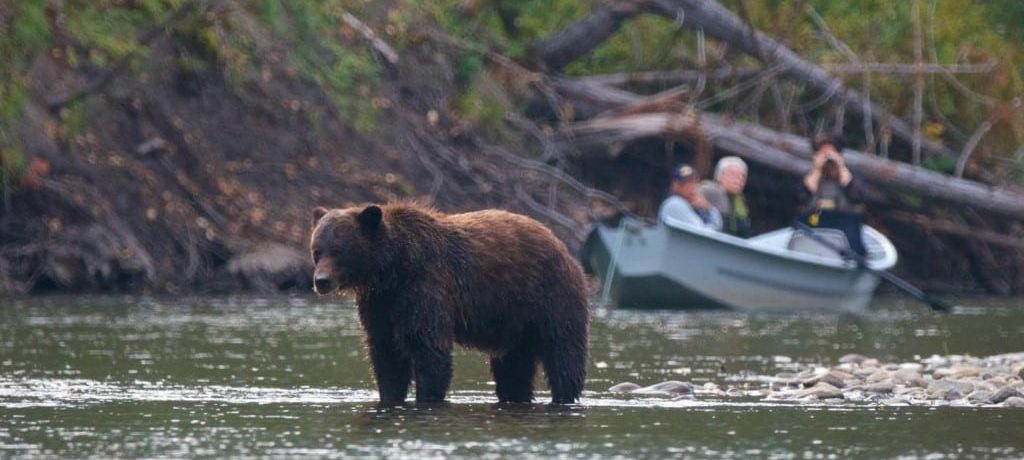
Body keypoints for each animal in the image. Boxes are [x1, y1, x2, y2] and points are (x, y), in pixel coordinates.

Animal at [307, 202, 589, 403]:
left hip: (549, 297)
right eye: (317, 250)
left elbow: (429, 348)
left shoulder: (425, 287)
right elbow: (387, 353)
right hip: (514, 321)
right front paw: (390, 395)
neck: (392, 269)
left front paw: (427, 395)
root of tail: (562, 246)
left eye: (339, 250)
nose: (321, 281)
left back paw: (565, 395)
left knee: (563, 354)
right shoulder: (381, 304)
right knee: (513, 368)